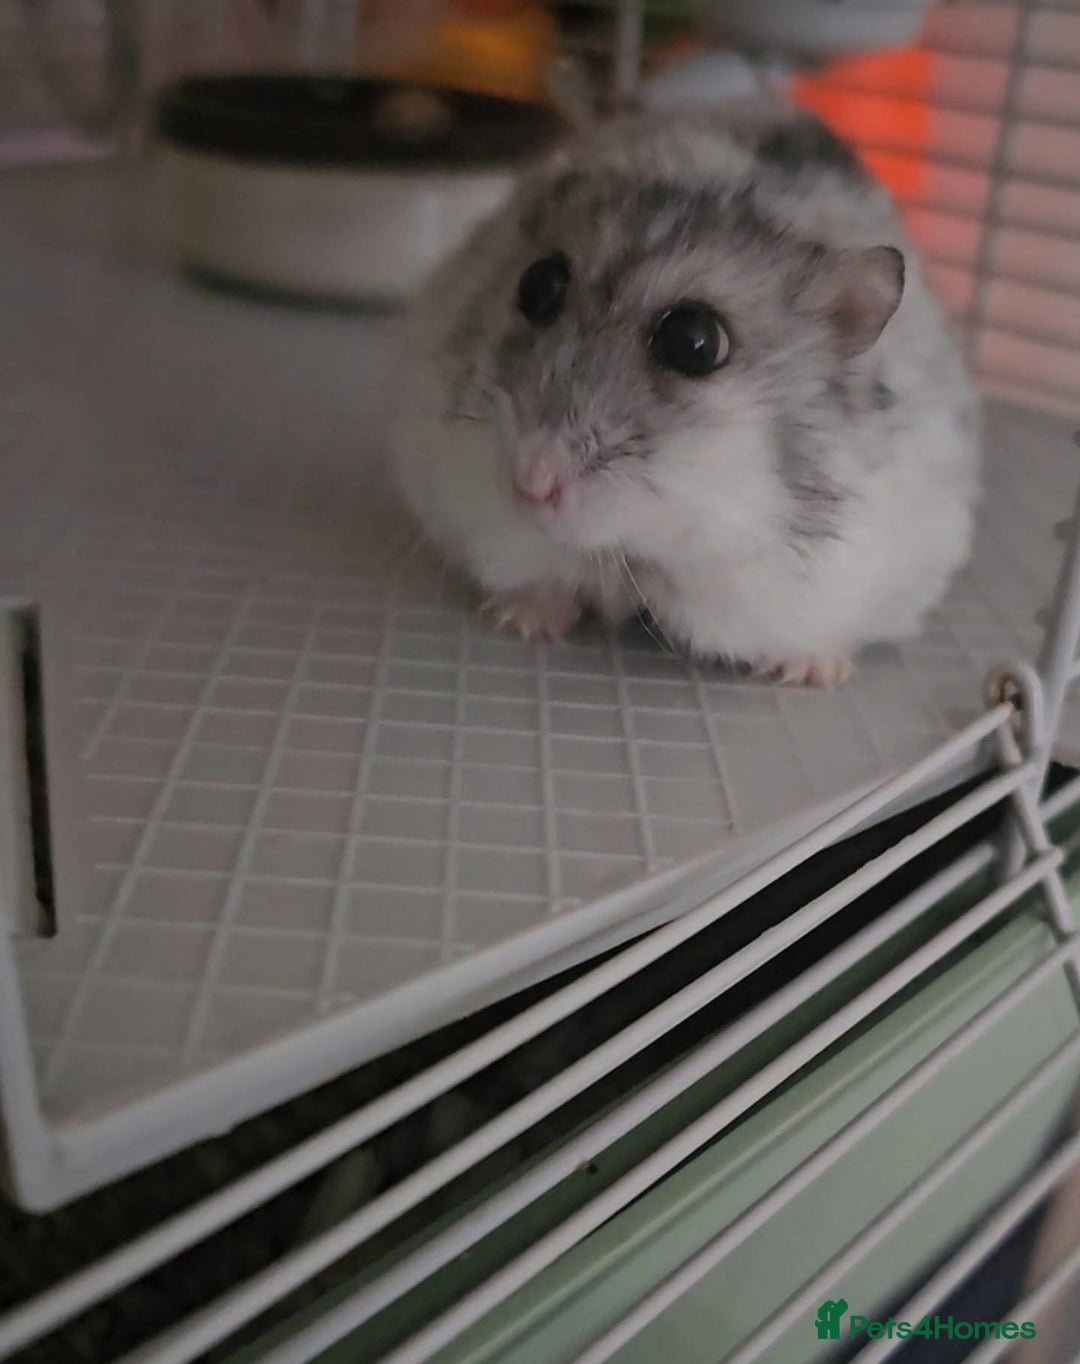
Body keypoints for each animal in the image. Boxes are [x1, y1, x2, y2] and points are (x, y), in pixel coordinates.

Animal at [390, 98, 980, 686]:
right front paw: (521, 619)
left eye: (695, 342)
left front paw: (811, 672)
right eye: (536, 285)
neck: (632, 547)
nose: (530, 484)